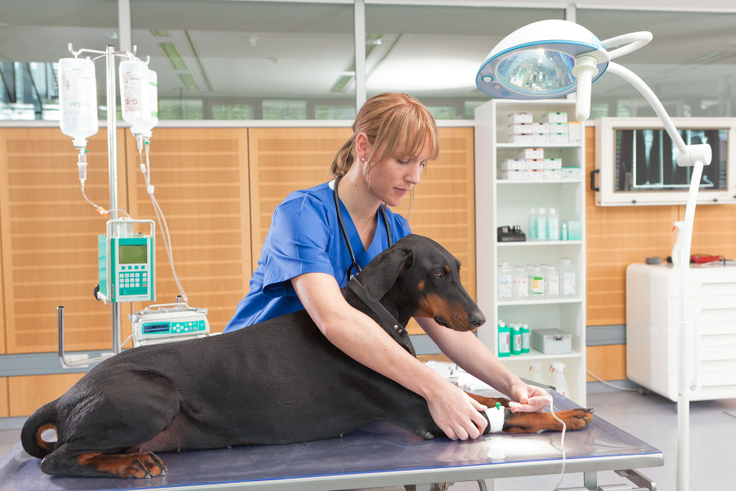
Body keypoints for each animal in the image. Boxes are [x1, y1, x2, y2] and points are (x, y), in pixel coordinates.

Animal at [21, 236, 592, 478]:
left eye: (458, 268)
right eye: (439, 273)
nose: (478, 320)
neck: (371, 313)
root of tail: (66, 396)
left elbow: (495, 398)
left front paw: (560, 406)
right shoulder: (425, 412)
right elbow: (492, 413)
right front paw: (556, 415)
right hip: (153, 395)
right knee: (55, 459)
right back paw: (129, 463)